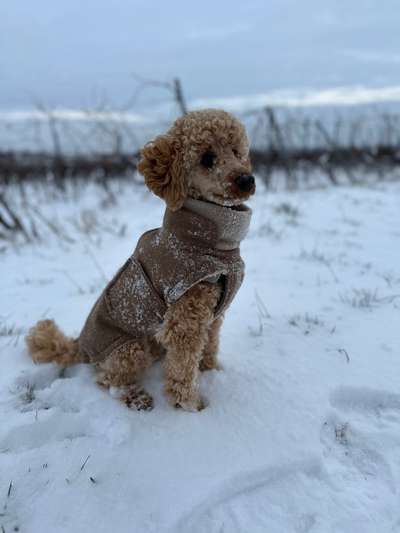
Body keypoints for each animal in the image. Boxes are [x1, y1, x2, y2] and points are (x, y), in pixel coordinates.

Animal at [25, 109, 256, 412]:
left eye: (237, 151)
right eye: (207, 159)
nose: (246, 180)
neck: (213, 243)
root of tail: (79, 345)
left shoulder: (213, 314)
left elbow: (209, 347)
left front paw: (211, 372)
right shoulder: (186, 319)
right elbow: (182, 368)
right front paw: (190, 405)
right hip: (129, 349)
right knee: (106, 379)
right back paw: (134, 396)